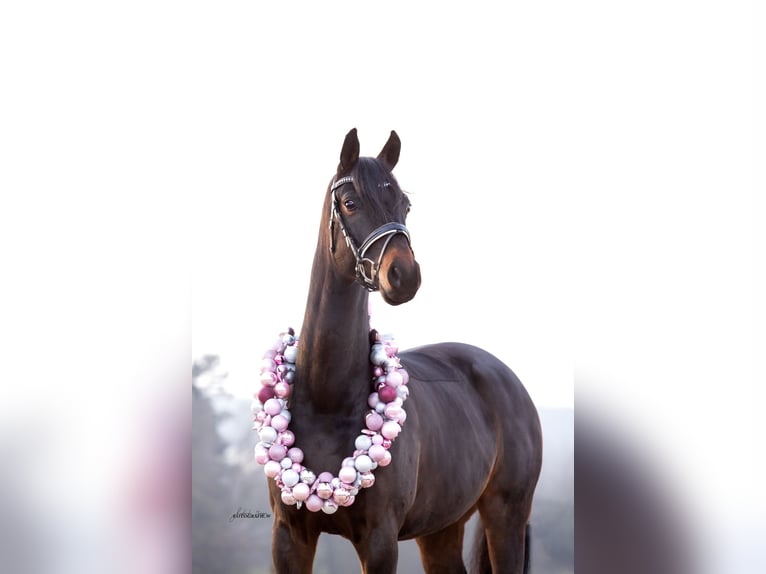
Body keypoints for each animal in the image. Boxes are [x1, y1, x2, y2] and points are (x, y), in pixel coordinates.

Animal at [263, 128, 542, 573]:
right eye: (350, 202)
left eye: (404, 204)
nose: (403, 275)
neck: (327, 398)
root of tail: (506, 378)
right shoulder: (288, 538)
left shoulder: (380, 540)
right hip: (441, 528)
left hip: (506, 516)